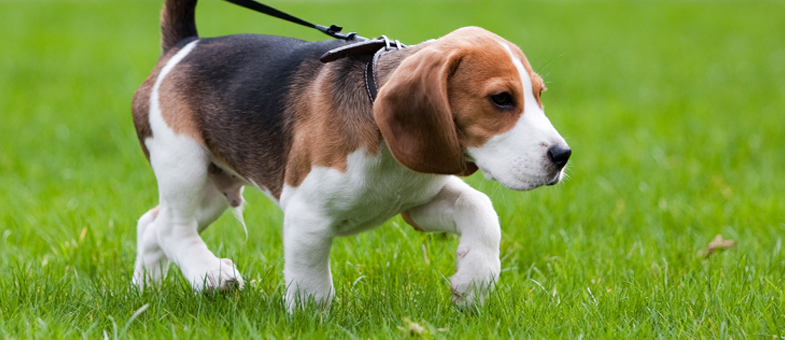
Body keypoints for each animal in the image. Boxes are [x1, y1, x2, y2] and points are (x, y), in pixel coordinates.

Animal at [130, 0, 568, 310]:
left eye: (539, 95)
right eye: (501, 99)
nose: (562, 155)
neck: (386, 149)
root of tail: (185, 46)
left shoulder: (418, 202)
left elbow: (479, 209)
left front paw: (474, 281)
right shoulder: (307, 214)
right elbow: (312, 285)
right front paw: (310, 320)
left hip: (212, 188)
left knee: (151, 224)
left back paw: (144, 292)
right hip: (184, 164)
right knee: (172, 228)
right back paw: (210, 274)